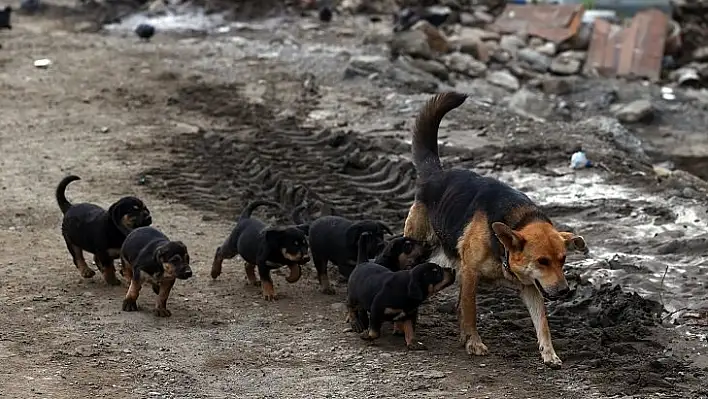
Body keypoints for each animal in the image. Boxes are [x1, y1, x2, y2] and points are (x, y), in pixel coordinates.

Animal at [404, 92, 588, 370]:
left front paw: (549, 353)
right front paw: (474, 343)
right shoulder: (470, 273)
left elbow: (542, 322)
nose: (565, 291)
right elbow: (470, 311)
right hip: (418, 245)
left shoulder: (530, 287)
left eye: (563, 260)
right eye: (542, 261)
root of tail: (435, 174)